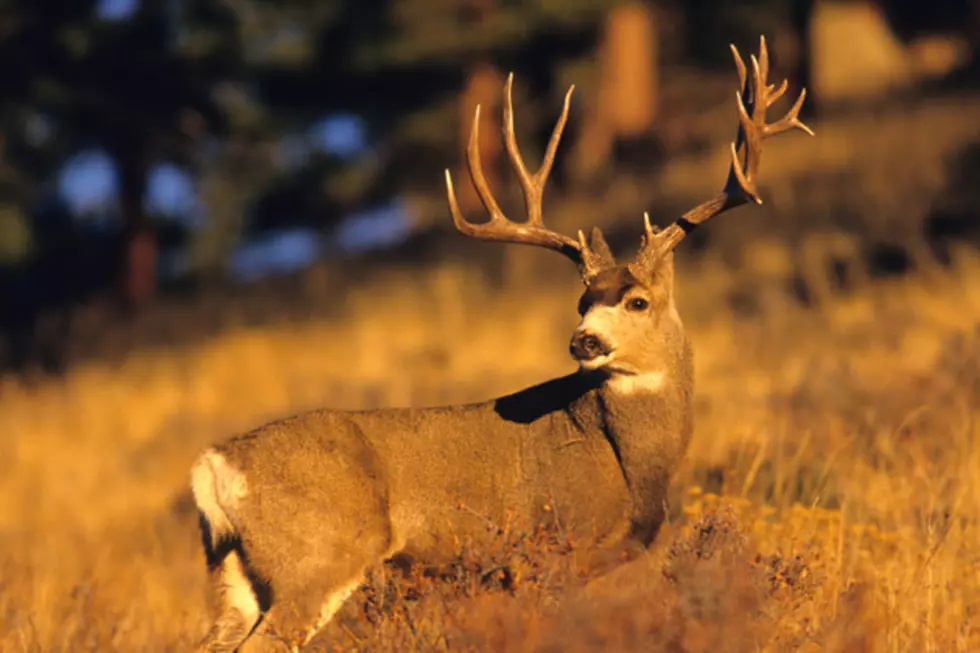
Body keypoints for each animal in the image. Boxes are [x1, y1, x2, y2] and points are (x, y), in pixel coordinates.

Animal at [189, 37, 812, 652]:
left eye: (636, 301)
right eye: (583, 302)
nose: (582, 341)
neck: (631, 462)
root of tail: (213, 464)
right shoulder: (552, 547)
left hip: (235, 572)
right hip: (319, 555)